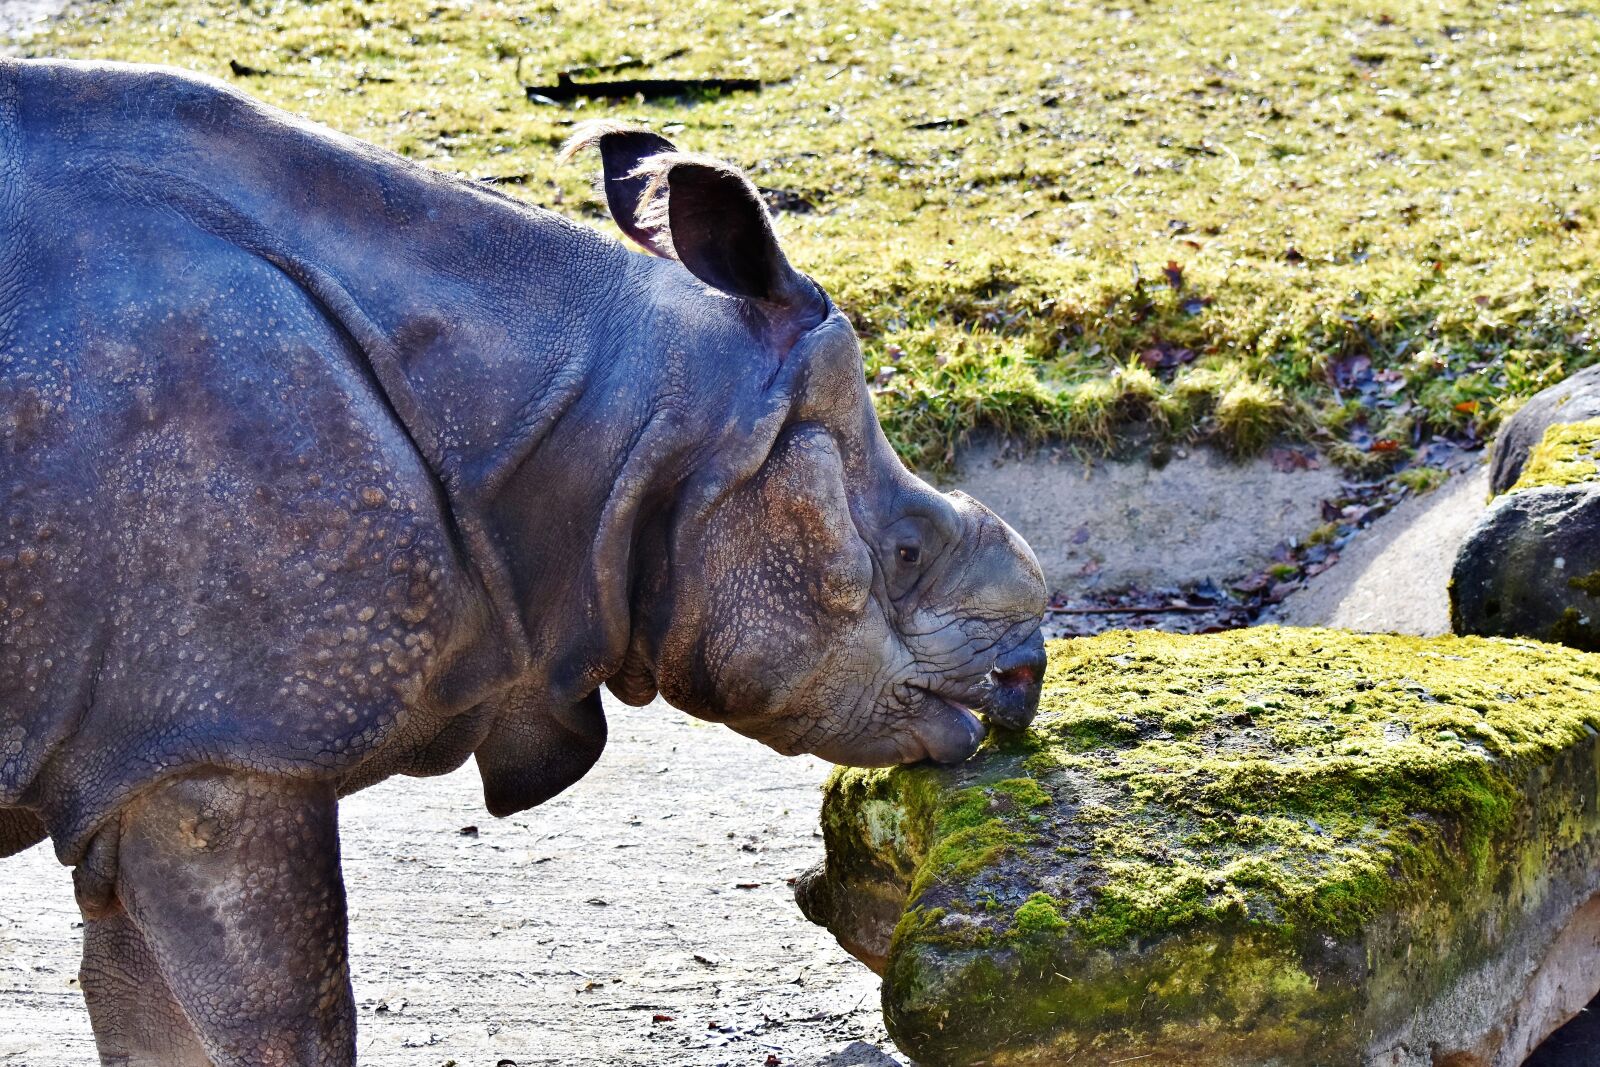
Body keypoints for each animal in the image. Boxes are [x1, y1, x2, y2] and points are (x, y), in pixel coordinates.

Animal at [0, 57, 1047, 1064]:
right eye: (904, 550)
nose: (1025, 676)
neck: (629, 413)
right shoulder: (224, 744)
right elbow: (285, 1023)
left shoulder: (151, 753)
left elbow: (147, 1017)